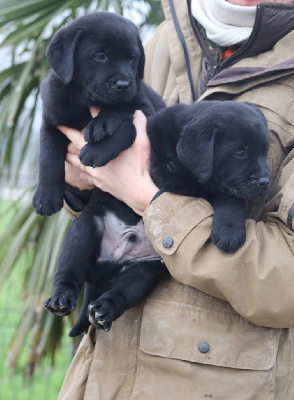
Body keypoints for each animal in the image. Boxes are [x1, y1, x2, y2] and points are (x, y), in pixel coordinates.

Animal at [33, 11, 165, 216]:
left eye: (132, 57)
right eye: (100, 56)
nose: (123, 85)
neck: (85, 101)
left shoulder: (145, 111)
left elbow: (126, 124)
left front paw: (98, 144)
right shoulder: (52, 122)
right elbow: (48, 156)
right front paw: (45, 197)